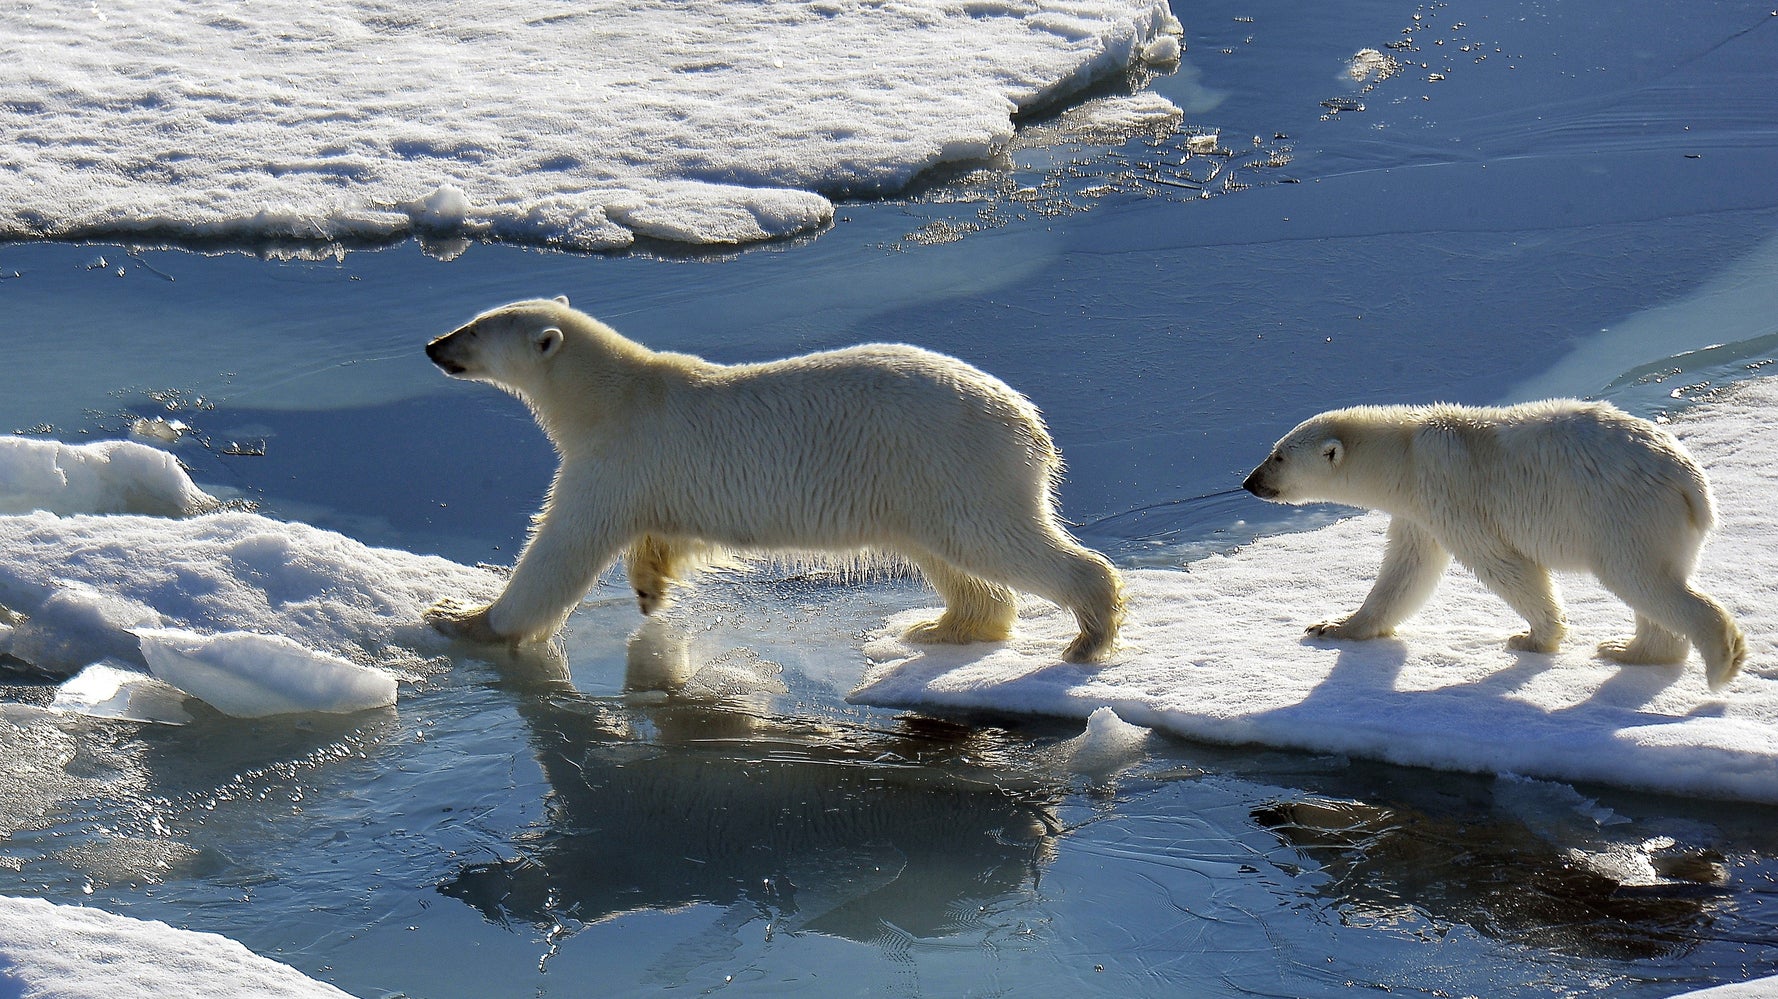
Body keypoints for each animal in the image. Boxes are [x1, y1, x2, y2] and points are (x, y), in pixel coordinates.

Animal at [419, 295, 1123, 661]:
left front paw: (462, 618)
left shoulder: (618, 456)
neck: (613, 395)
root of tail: (1029, 423)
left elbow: (559, 551)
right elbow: (664, 535)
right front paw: (650, 584)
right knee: (949, 557)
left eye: (475, 330)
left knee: (996, 542)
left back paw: (1088, 635)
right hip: (917, 484)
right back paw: (940, 627)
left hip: (952, 462)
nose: (432, 345)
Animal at [1244, 394, 1742, 682]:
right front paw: (1334, 626)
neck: (1405, 453)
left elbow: (1501, 563)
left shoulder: (1450, 491)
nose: (1250, 481)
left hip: (1623, 512)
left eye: (1279, 456)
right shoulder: (1418, 509)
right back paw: (1631, 650)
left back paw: (1722, 658)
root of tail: (1691, 482)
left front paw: (1534, 638)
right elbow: (1406, 570)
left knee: (1639, 577)